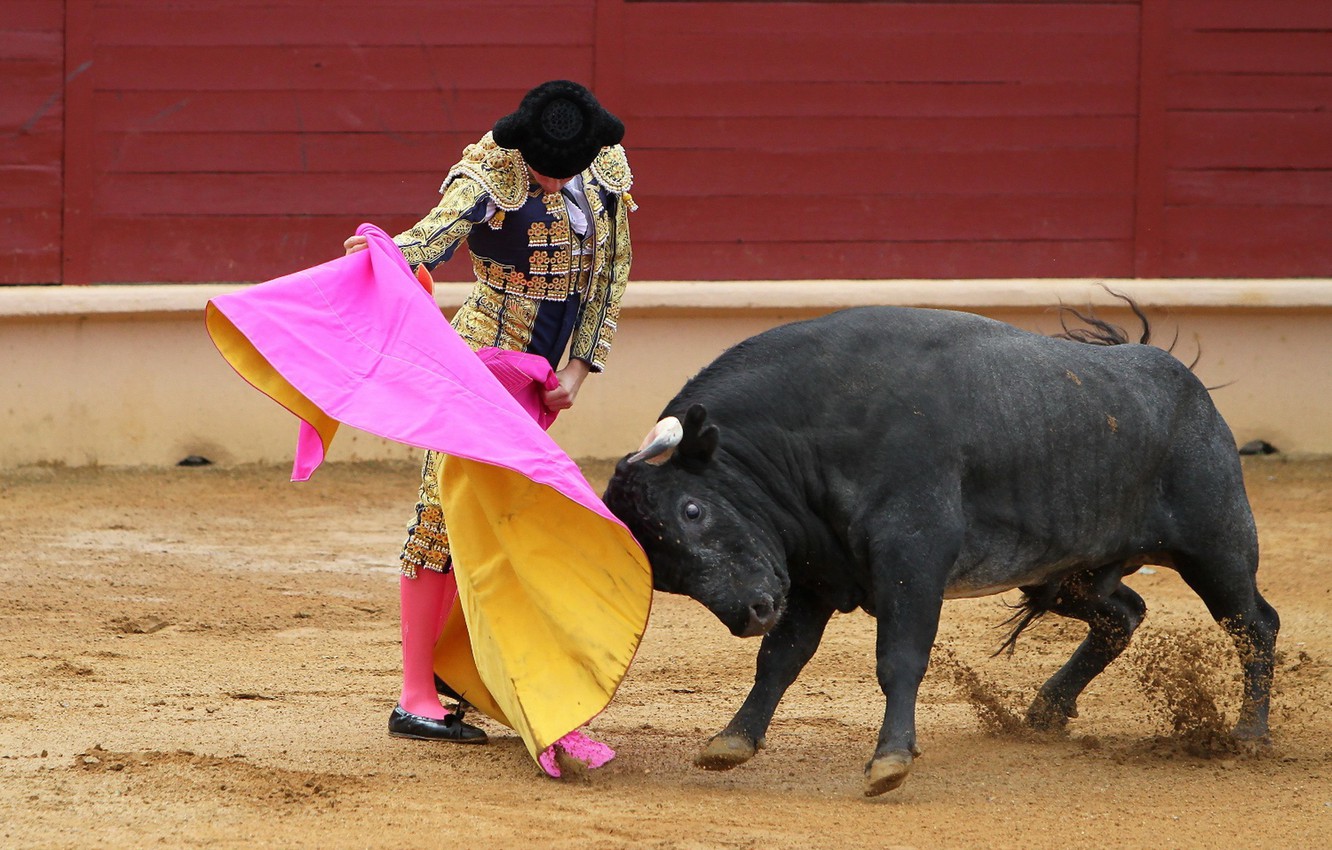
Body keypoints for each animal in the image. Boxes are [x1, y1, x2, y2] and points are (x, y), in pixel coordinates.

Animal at [602, 304, 1279, 797]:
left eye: (692, 510)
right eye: (666, 575)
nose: (751, 613)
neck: (813, 429)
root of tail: (1184, 382)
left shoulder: (912, 557)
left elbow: (898, 658)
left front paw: (890, 762)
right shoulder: (813, 577)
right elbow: (779, 660)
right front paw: (732, 742)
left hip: (1215, 544)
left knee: (1253, 623)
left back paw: (1249, 735)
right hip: (1066, 572)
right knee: (1123, 614)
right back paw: (1046, 711)